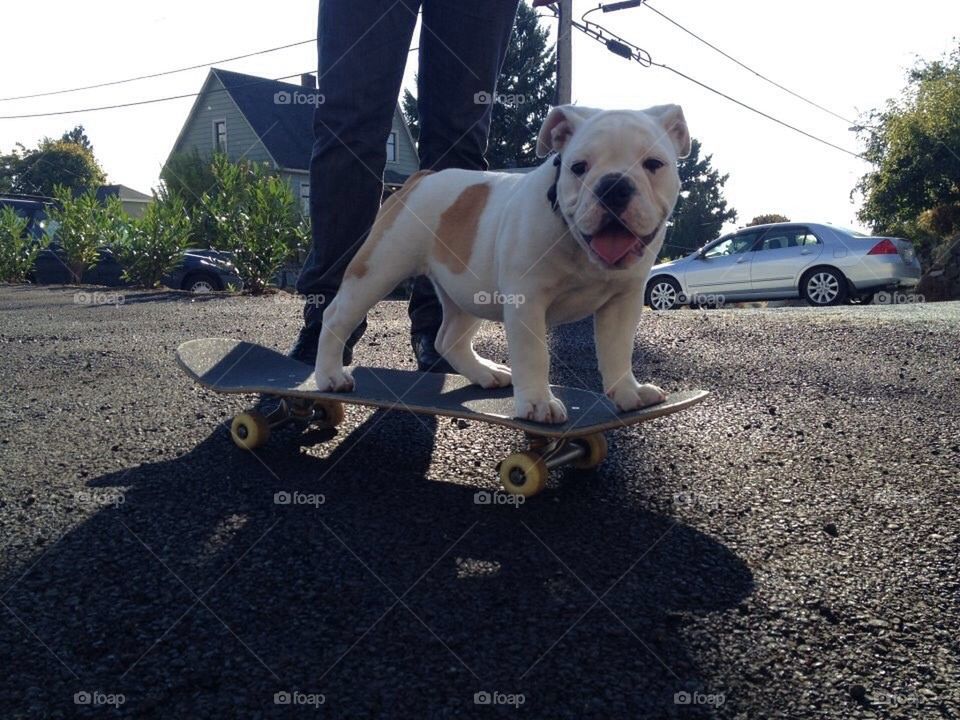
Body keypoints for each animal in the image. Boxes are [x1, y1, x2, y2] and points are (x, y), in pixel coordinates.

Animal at [316, 104, 688, 424]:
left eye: (654, 164)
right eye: (578, 167)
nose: (613, 185)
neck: (577, 242)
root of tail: (419, 179)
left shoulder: (623, 301)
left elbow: (617, 350)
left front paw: (628, 393)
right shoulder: (527, 301)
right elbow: (534, 354)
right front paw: (538, 403)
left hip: (468, 290)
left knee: (448, 338)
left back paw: (486, 373)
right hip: (377, 269)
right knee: (335, 317)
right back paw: (330, 376)